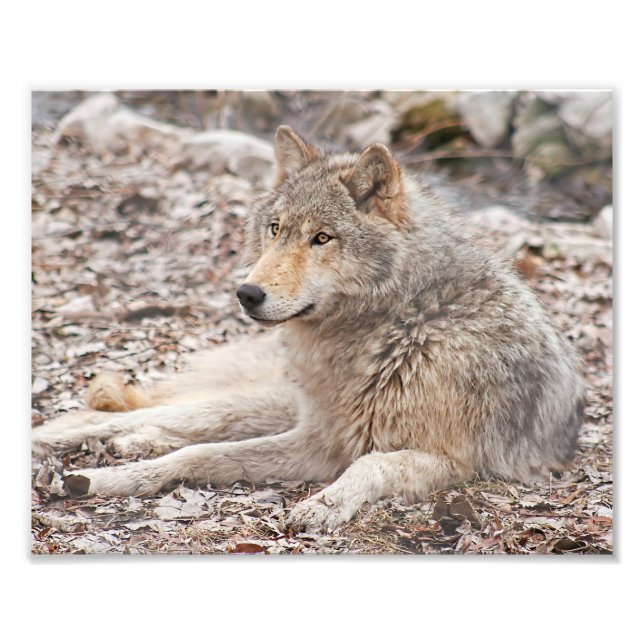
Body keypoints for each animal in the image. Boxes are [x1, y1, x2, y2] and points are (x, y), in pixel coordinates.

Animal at [32, 125, 584, 533]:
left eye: (322, 238)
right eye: (276, 229)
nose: (247, 293)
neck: (400, 327)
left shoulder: (446, 459)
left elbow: (371, 464)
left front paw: (322, 506)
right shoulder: (320, 440)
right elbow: (201, 453)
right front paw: (117, 479)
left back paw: (128, 445)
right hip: (263, 402)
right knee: (134, 417)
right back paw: (78, 448)